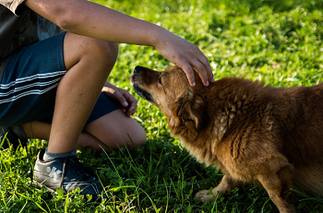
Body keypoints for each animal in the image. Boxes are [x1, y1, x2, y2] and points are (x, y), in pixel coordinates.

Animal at [131, 65, 323, 212]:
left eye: (160, 80)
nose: (136, 68)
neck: (234, 119)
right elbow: (227, 180)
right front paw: (211, 195)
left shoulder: (271, 168)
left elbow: (280, 201)